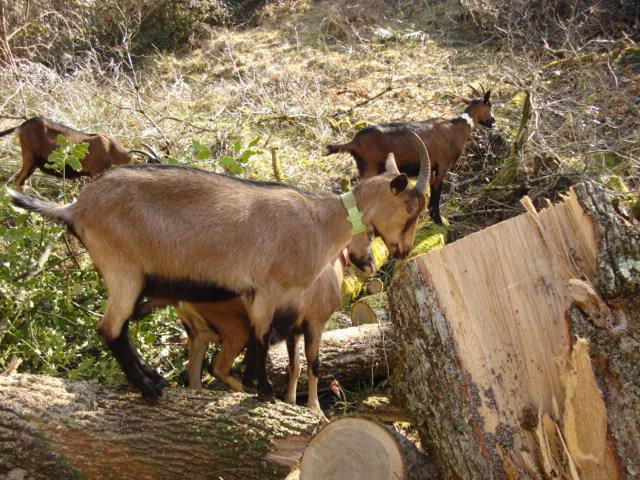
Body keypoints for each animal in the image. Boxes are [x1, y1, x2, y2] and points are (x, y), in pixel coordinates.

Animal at [7, 137, 428, 404]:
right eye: (411, 208)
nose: (403, 250)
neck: (319, 222)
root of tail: (74, 208)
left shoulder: (267, 300)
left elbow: (268, 345)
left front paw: (259, 388)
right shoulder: (269, 289)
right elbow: (263, 340)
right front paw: (263, 390)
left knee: (121, 328)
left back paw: (155, 379)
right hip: (123, 270)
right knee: (110, 329)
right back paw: (148, 388)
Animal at [324, 86, 496, 225]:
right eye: (490, 105)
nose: (493, 121)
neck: (455, 128)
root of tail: (353, 142)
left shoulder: (432, 166)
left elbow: (432, 187)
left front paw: (431, 214)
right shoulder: (442, 165)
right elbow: (437, 190)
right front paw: (438, 219)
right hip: (370, 169)